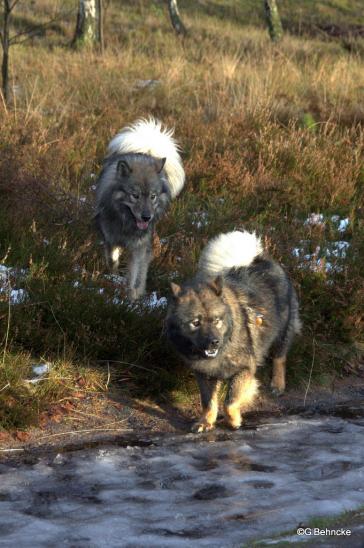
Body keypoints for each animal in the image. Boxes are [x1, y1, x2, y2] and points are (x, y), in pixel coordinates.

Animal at [95, 116, 185, 300]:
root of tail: (147, 152)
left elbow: (134, 275)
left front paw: (130, 298)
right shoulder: (110, 239)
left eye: (153, 196)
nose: (146, 217)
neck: (126, 221)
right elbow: (112, 261)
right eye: (135, 195)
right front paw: (113, 278)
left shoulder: (138, 247)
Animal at [166, 231, 300, 432]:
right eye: (195, 323)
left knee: (279, 357)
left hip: (282, 331)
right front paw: (206, 422)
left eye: (217, 320)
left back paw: (277, 384)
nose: (214, 341)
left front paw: (234, 420)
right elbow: (208, 402)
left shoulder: (244, 369)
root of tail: (262, 259)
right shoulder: (204, 375)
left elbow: (229, 402)